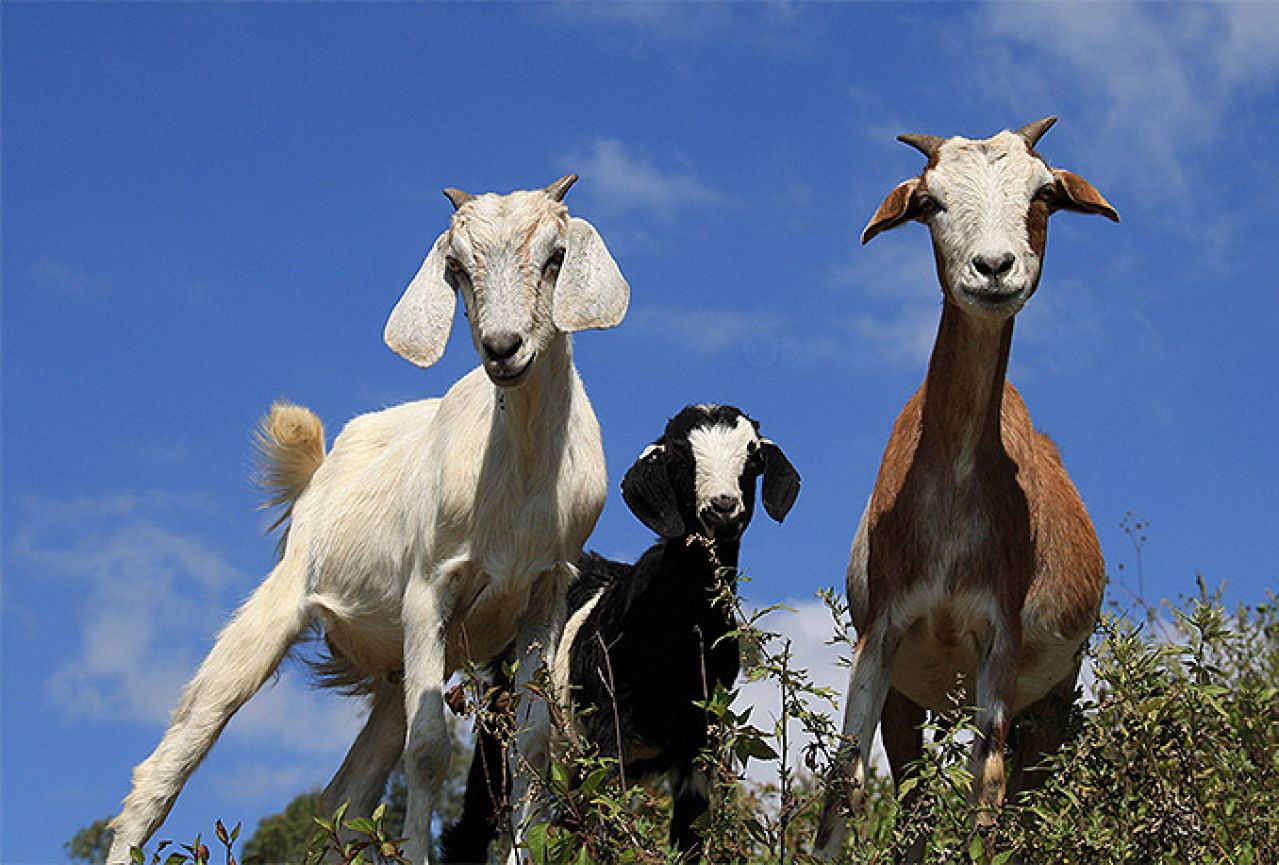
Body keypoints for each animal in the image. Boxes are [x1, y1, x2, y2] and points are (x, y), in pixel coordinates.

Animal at [108, 175, 629, 865]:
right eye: (456, 269)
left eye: (555, 256)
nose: (503, 349)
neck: (518, 474)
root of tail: (320, 469)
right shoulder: (429, 587)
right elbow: (430, 748)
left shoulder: (544, 592)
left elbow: (531, 746)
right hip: (280, 604)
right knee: (168, 764)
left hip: (399, 672)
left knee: (344, 800)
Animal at [442, 404, 798, 865]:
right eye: (678, 458)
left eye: (753, 457)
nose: (723, 507)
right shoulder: (608, 735)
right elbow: (604, 830)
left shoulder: (698, 744)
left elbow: (687, 838)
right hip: (502, 727)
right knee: (474, 826)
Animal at [818, 119, 1120, 859]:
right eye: (929, 201)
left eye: (1045, 193)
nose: (993, 268)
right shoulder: (884, 631)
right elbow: (846, 779)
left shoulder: (999, 639)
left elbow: (985, 790)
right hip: (913, 695)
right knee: (913, 796)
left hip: (1054, 694)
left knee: (1026, 793)